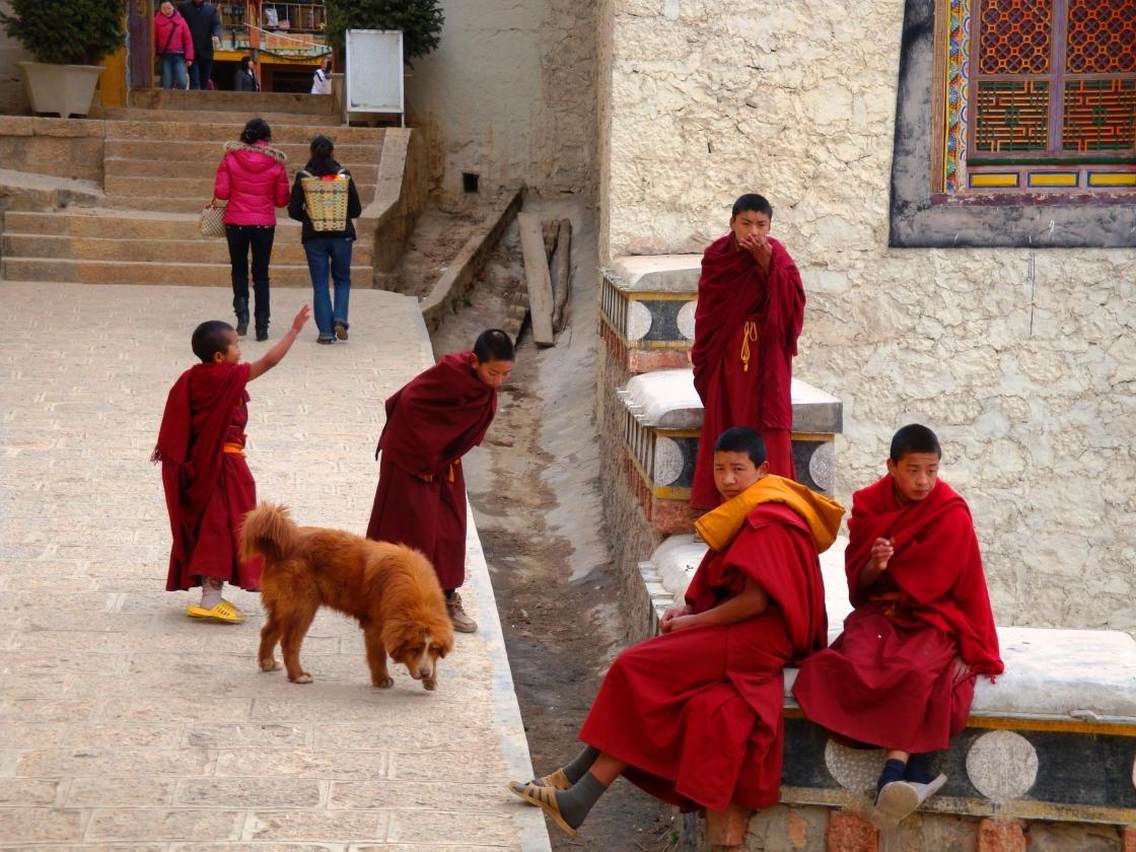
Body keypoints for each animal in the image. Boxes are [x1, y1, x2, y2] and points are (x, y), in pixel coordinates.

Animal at [243, 504, 452, 690]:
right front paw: (382, 680)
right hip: (302, 607)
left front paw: (431, 679)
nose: (424, 673)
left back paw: (267, 662)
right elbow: (378, 655)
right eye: (414, 649)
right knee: (289, 642)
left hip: (285, 606)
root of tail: (288, 541)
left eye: (433, 649)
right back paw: (298, 675)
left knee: (268, 631)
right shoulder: (375, 624)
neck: (417, 598)